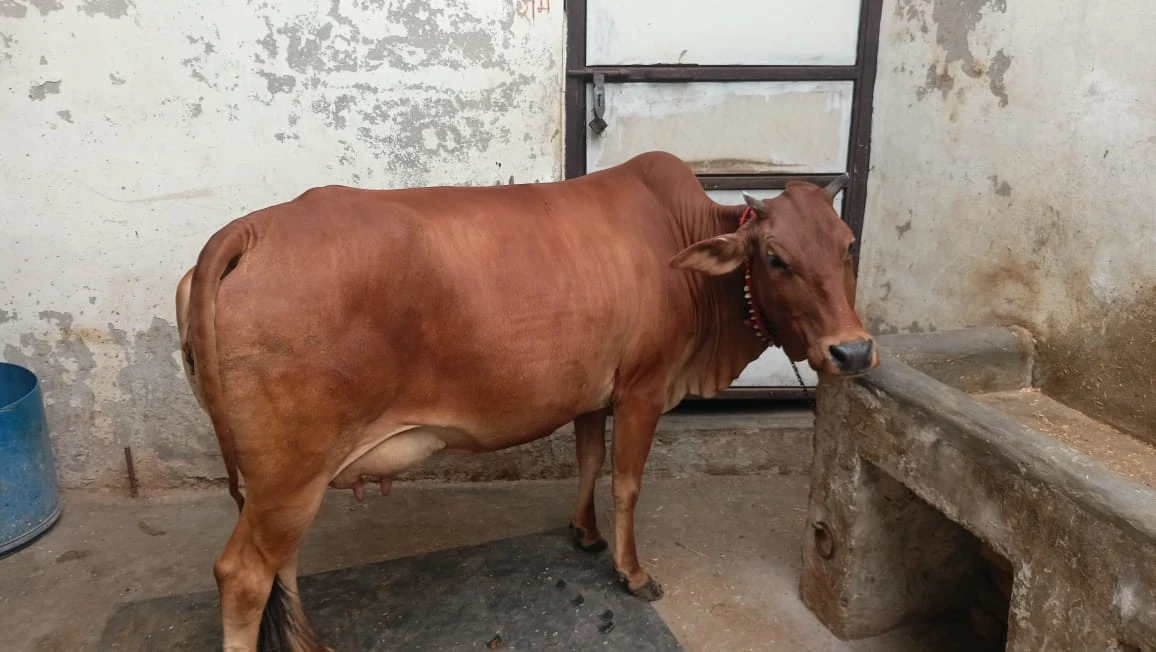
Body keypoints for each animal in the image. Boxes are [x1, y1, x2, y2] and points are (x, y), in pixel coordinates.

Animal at [175, 150, 877, 651]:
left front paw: (585, 535)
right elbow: (627, 482)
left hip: (286, 477)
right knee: (244, 575)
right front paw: (631, 572)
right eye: (776, 259)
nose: (853, 352)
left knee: (281, 565)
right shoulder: (643, 387)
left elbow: (589, 461)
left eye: (848, 245)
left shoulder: (594, 391)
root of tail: (249, 229)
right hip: (290, 471)